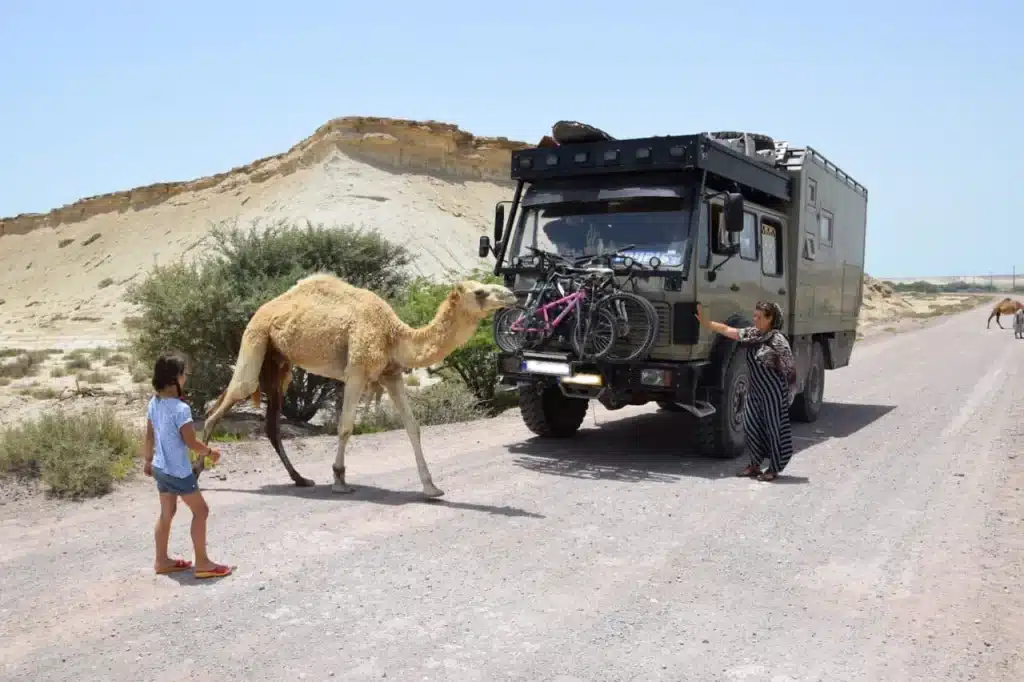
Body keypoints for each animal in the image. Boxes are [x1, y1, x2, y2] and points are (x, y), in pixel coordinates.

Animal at [198, 268, 516, 497]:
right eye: (480, 291)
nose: (511, 295)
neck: (392, 334)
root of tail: (263, 309)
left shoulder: (391, 374)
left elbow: (413, 427)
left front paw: (431, 488)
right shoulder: (357, 371)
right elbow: (346, 427)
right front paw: (339, 479)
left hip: (278, 362)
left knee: (269, 424)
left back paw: (301, 479)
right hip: (255, 338)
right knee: (222, 405)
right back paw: (197, 473)